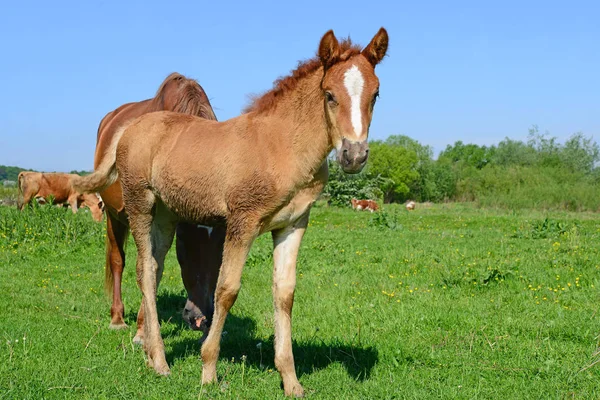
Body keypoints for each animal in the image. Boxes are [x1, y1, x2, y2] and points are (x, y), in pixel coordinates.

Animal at [95, 72, 221, 338]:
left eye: (222, 246)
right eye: (185, 242)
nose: (201, 318)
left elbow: (157, 267)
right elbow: (146, 268)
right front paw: (143, 331)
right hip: (113, 215)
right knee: (117, 260)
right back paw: (117, 317)